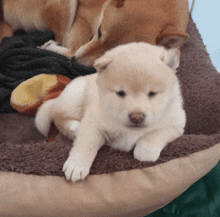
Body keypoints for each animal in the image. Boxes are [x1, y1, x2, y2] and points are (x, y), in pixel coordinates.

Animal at [35, 42, 186, 181]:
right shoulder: (93, 122)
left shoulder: (176, 124)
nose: (137, 117)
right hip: (74, 97)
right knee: (58, 118)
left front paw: (146, 150)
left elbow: (153, 138)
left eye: (152, 93)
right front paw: (76, 165)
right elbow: (86, 143)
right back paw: (74, 127)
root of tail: (57, 98)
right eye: (121, 93)